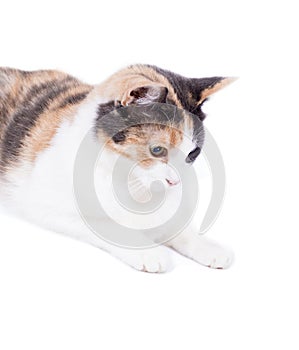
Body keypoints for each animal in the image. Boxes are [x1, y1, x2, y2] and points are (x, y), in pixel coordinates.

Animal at [0, 65, 234, 274]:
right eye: (157, 150)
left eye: (193, 153)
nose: (175, 182)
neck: (130, 180)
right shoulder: (45, 204)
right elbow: (107, 225)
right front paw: (148, 252)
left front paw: (207, 245)